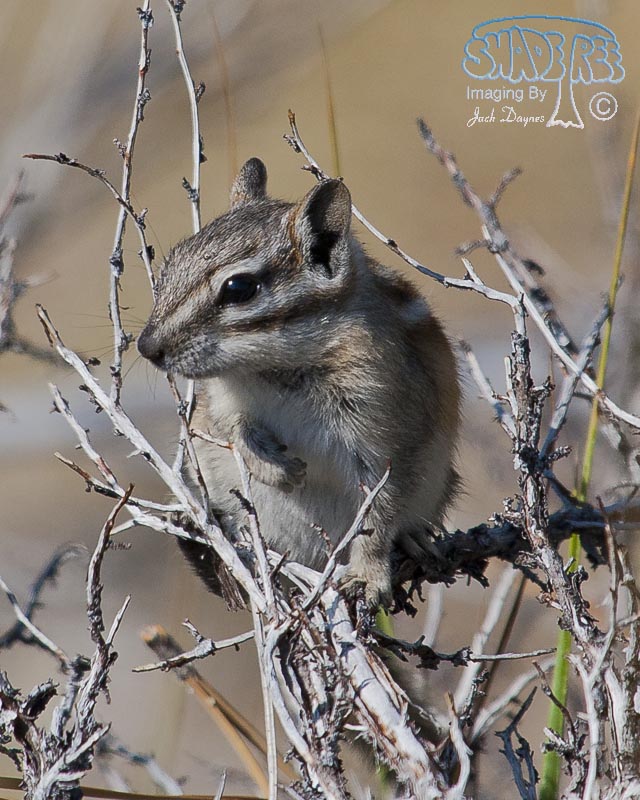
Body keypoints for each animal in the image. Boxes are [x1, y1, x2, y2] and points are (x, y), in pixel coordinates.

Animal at [137, 158, 460, 607]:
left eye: (239, 288)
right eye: (170, 264)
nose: (146, 346)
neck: (280, 367)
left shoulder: (387, 437)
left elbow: (380, 512)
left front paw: (369, 577)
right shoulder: (223, 400)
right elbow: (234, 432)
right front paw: (280, 471)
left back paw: (415, 539)